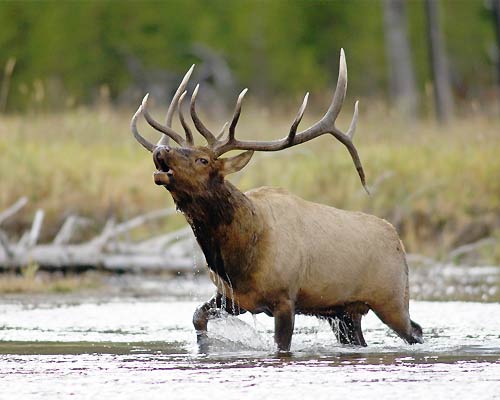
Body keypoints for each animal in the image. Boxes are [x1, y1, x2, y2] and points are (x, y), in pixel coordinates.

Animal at [129, 49, 422, 350]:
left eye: (203, 160)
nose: (161, 149)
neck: (238, 257)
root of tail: (397, 238)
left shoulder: (285, 297)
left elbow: (282, 346)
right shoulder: (234, 298)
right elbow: (197, 316)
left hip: (392, 298)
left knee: (416, 331)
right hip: (344, 313)